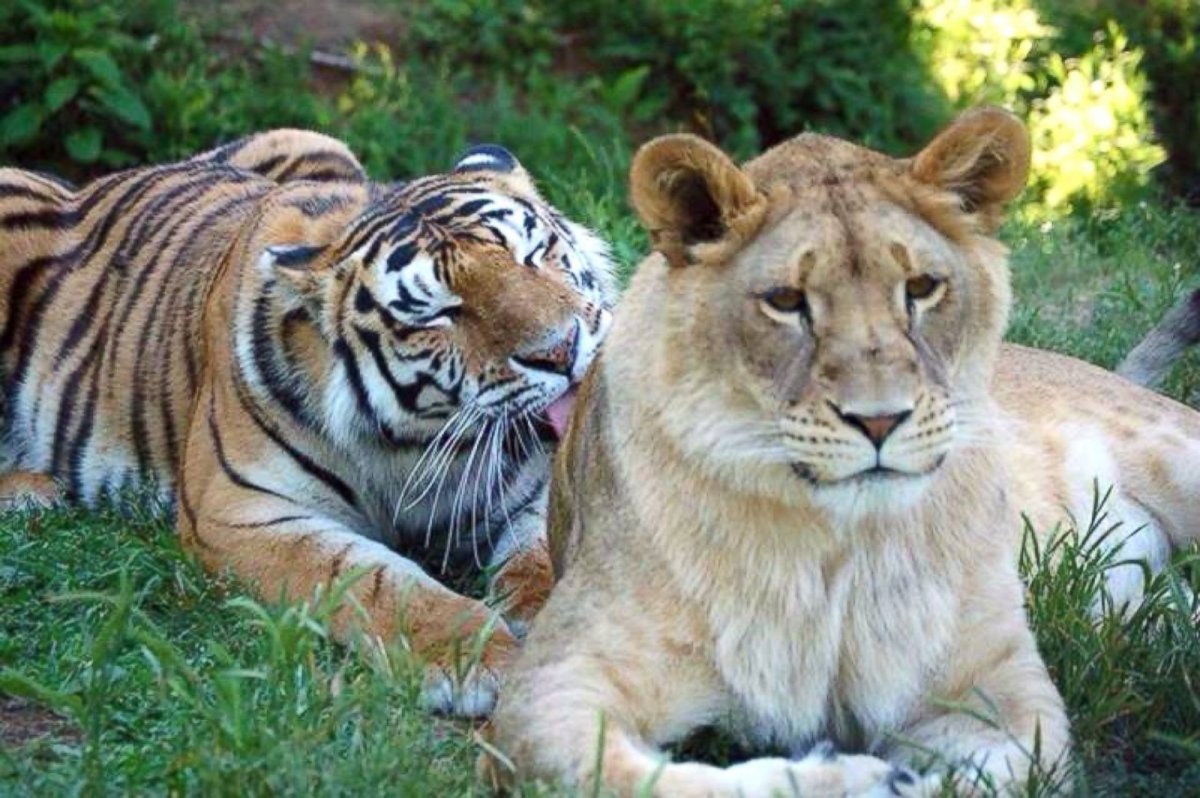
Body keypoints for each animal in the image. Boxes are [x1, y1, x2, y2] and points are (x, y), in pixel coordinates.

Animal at [486, 107, 1200, 795]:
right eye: (785, 301)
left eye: (922, 287)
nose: (880, 420)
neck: (841, 548)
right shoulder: (549, 683)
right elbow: (626, 776)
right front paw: (856, 775)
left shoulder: (999, 688)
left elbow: (1000, 776)